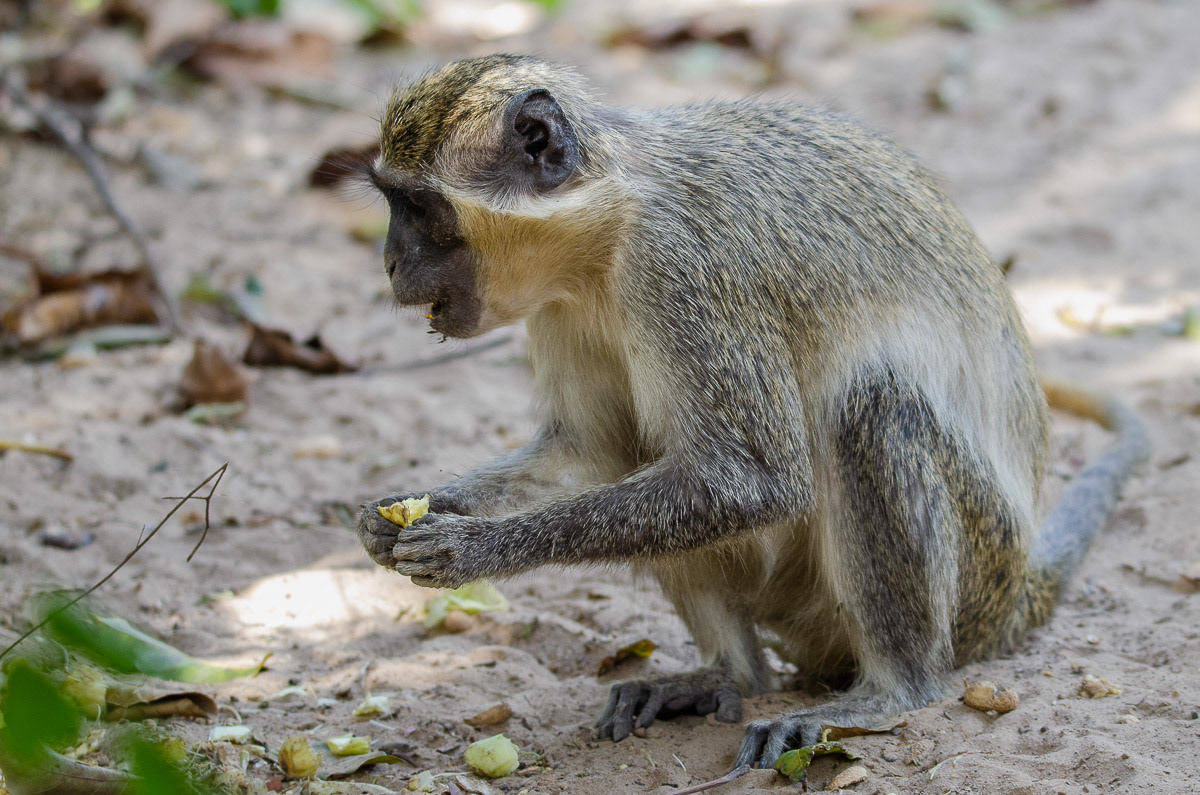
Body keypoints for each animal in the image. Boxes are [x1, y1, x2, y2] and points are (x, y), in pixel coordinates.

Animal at [353, 54, 1149, 768]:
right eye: (393, 203)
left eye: (419, 209)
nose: (390, 263)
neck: (608, 221)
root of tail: (1017, 590)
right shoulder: (558, 304)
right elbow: (591, 453)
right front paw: (402, 513)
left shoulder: (684, 268)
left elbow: (753, 481)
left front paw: (479, 546)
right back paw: (727, 674)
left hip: (977, 576)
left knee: (872, 407)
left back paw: (891, 690)